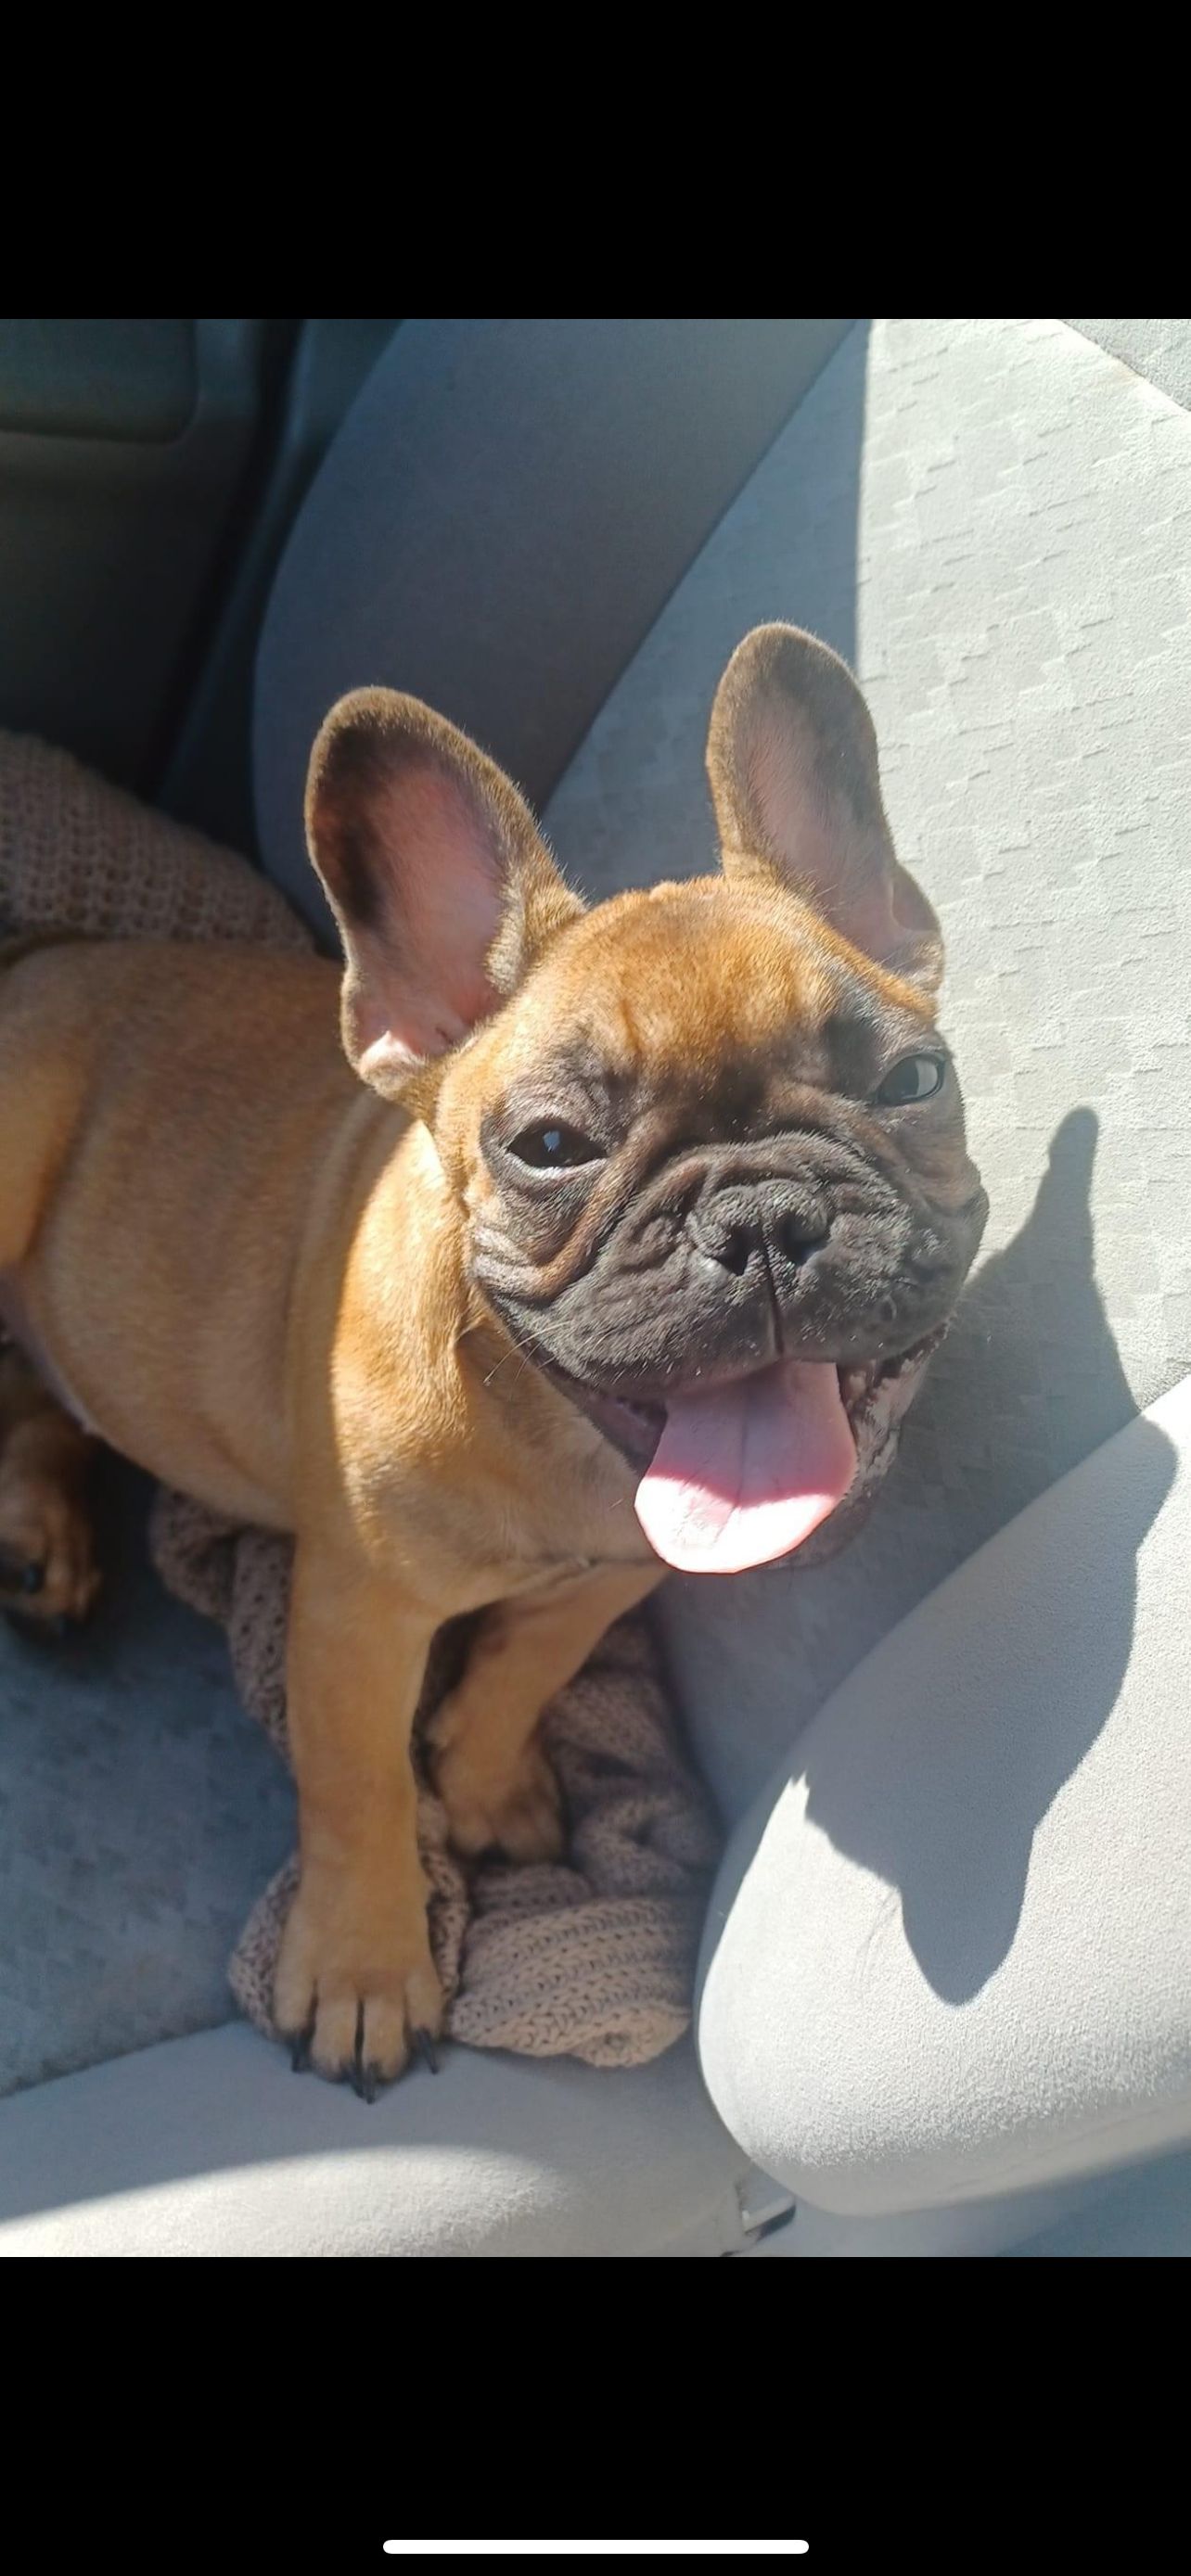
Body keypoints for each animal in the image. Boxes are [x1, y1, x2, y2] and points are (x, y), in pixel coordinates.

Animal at [0, 626, 987, 2091]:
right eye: (550, 1147)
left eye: (913, 1080)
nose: (760, 1217)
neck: (544, 1430)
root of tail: (42, 951)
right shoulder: (355, 1616)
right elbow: (358, 1785)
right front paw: (367, 1967)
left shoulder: (617, 1568)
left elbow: (529, 1664)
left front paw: (481, 1777)